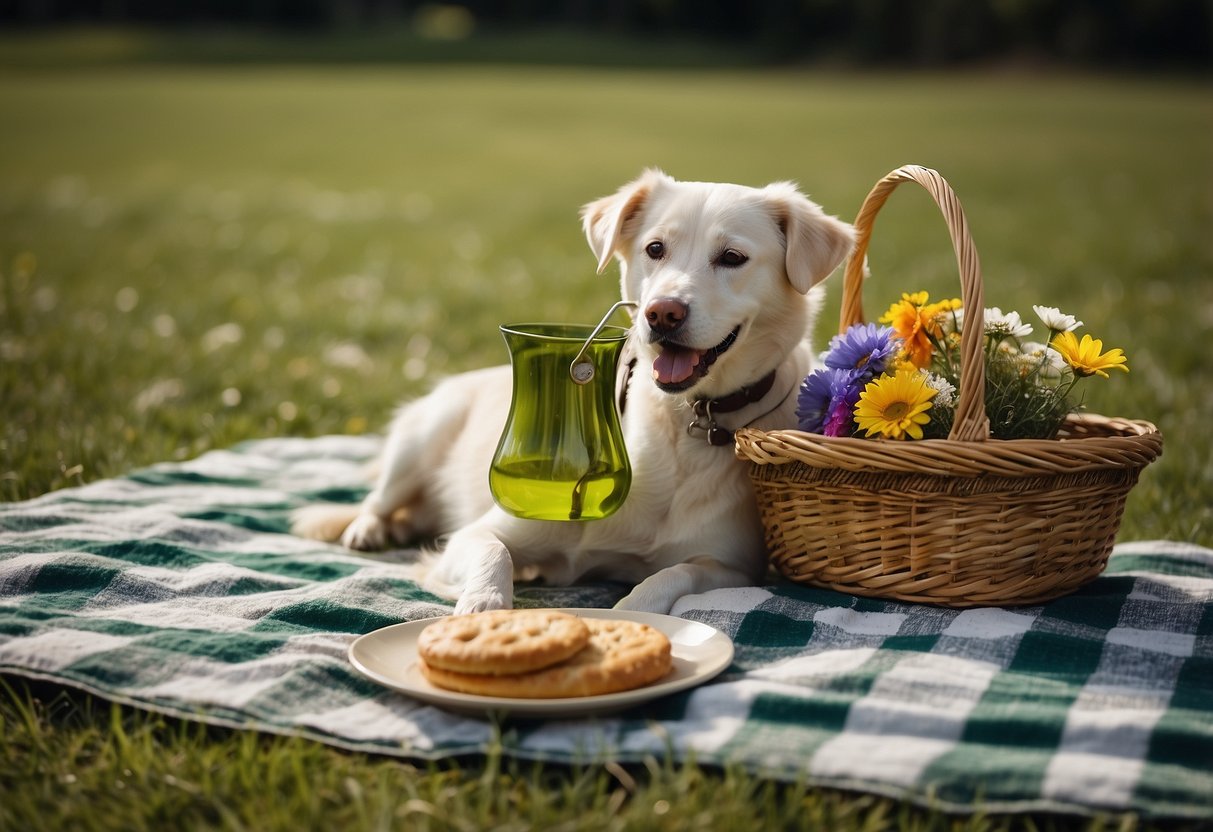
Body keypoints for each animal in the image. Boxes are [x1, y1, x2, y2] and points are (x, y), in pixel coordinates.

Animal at [289, 167, 853, 613]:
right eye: (655, 249)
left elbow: (670, 575)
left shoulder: (731, 567)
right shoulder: (479, 534)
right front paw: (483, 605)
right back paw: (370, 528)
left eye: (732, 257)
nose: (662, 313)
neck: (683, 420)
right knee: (379, 498)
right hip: (423, 437)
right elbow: (494, 553)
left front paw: (633, 613)